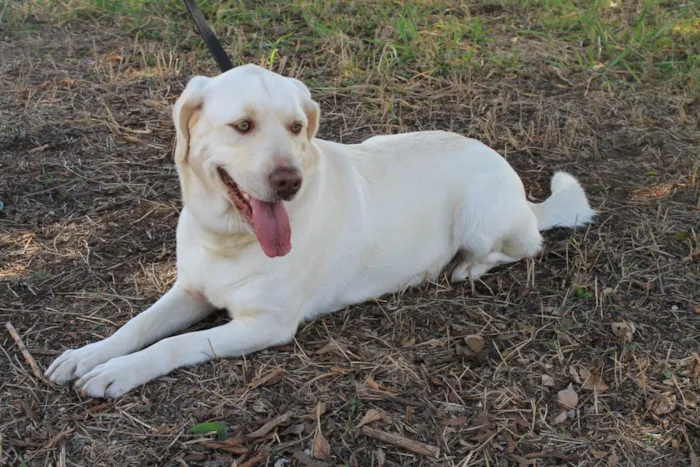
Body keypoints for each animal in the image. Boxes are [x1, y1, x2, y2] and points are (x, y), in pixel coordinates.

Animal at [43, 63, 592, 398]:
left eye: (294, 127)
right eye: (243, 126)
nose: (289, 181)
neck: (229, 238)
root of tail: (520, 188)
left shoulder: (266, 324)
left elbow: (172, 346)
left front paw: (117, 373)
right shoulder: (192, 290)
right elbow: (137, 327)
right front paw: (87, 356)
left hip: (480, 218)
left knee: (523, 246)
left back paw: (463, 267)